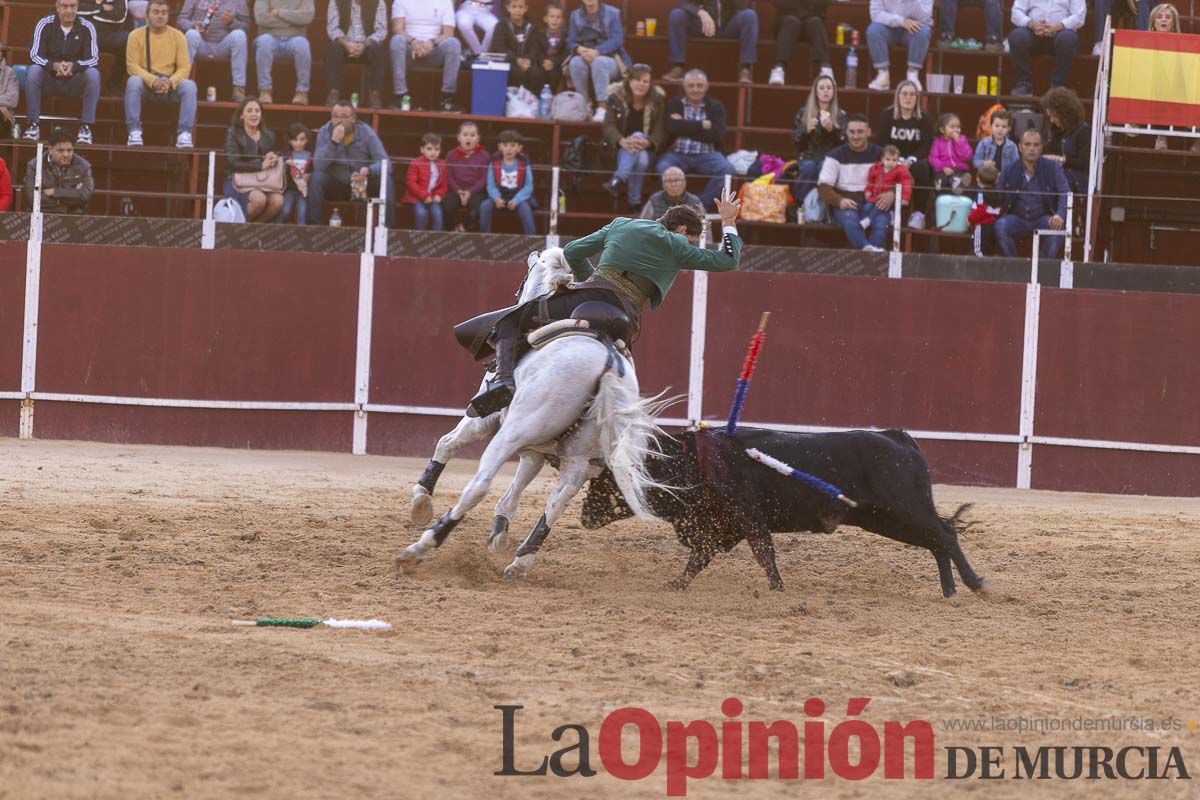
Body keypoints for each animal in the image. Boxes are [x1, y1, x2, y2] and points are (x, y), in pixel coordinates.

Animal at [396, 247, 662, 578]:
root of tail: (608, 362)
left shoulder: (483, 420)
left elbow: (446, 442)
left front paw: (421, 504)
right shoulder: (536, 451)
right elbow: (514, 491)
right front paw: (499, 533)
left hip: (511, 433)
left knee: (478, 486)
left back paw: (421, 547)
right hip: (577, 459)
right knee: (556, 503)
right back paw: (520, 561)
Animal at [578, 429, 984, 597]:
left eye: (605, 482)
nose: (583, 517)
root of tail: (899, 437)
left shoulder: (747, 518)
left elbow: (764, 554)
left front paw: (777, 589)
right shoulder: (723, 527)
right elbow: (699, 559)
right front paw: (675, 585)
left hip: (903, 509)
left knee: (945, 534)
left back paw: (974, 584)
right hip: (884, 518)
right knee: (937, 540)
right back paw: (949, 591)